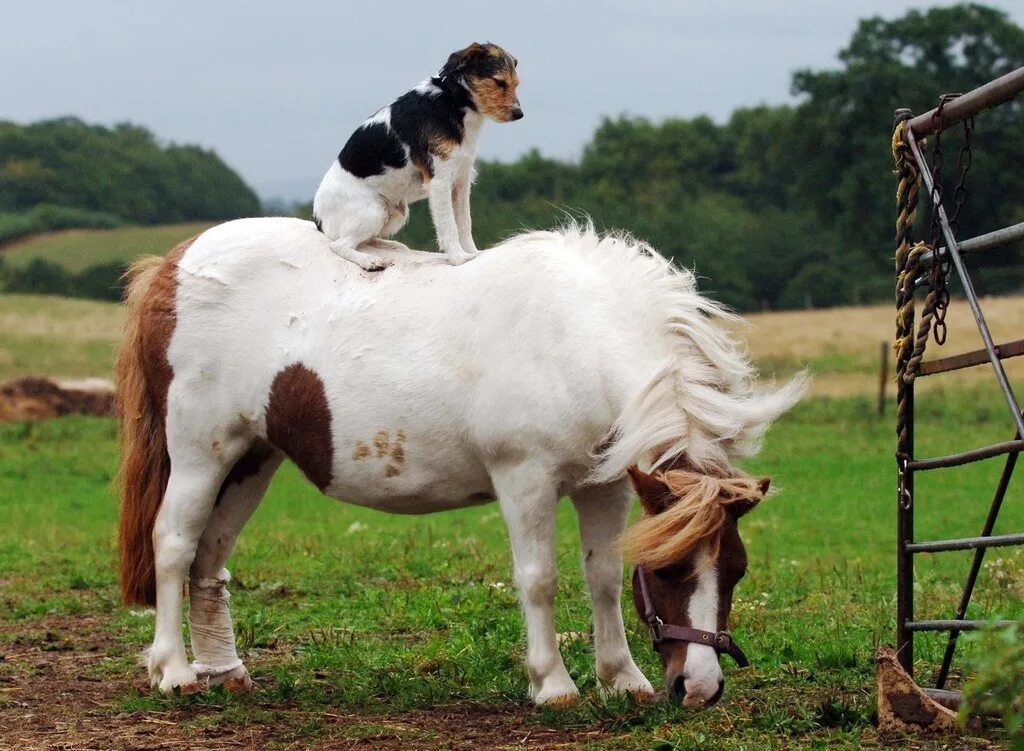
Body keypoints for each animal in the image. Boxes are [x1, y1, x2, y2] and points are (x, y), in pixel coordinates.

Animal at [117, 217, 806, 704]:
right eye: (668, 571)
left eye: (737, 571)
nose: (700, 689)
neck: (574, 338)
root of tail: (175, 263)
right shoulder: (525, 479)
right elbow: (540, 579)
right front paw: (553, 685)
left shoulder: (604, 484)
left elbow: (604, 576)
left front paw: (622, 678)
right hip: (200, 452)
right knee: (174, 545)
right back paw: (173, 671)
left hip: (252, 461)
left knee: (210, 557)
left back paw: (225, 672)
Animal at [309, 40, 520, 270]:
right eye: (499, 82)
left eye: (516, 84)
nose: (519, 114)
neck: (452, 100)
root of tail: (318, 218)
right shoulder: (439, 182)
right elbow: (449, 225)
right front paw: (458, 258)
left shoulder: (461, 181)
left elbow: (464, 222)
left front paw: (474, 253)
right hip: (374, 210)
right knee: (339, 245)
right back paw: (370, 261)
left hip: (396, 214)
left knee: (366, 240)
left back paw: (391, 246)